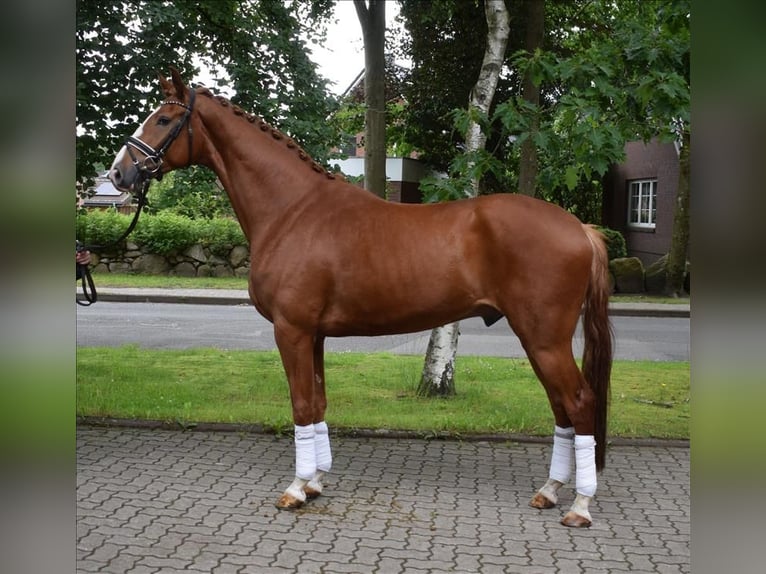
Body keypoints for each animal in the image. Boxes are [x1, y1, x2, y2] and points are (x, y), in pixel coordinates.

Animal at [108, 68, 616, 532]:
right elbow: (317, 404)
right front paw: (315, 482)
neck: (293, 210)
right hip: (537, 339)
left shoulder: (291, 330)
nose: (118, 173)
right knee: (561, 407)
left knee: (579, 402)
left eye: (164, 118)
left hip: (543, 338)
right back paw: (549, 491)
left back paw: (579, 506)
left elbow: (301, 405)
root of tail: (580, 229)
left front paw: (296, 489)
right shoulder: (312, 335)